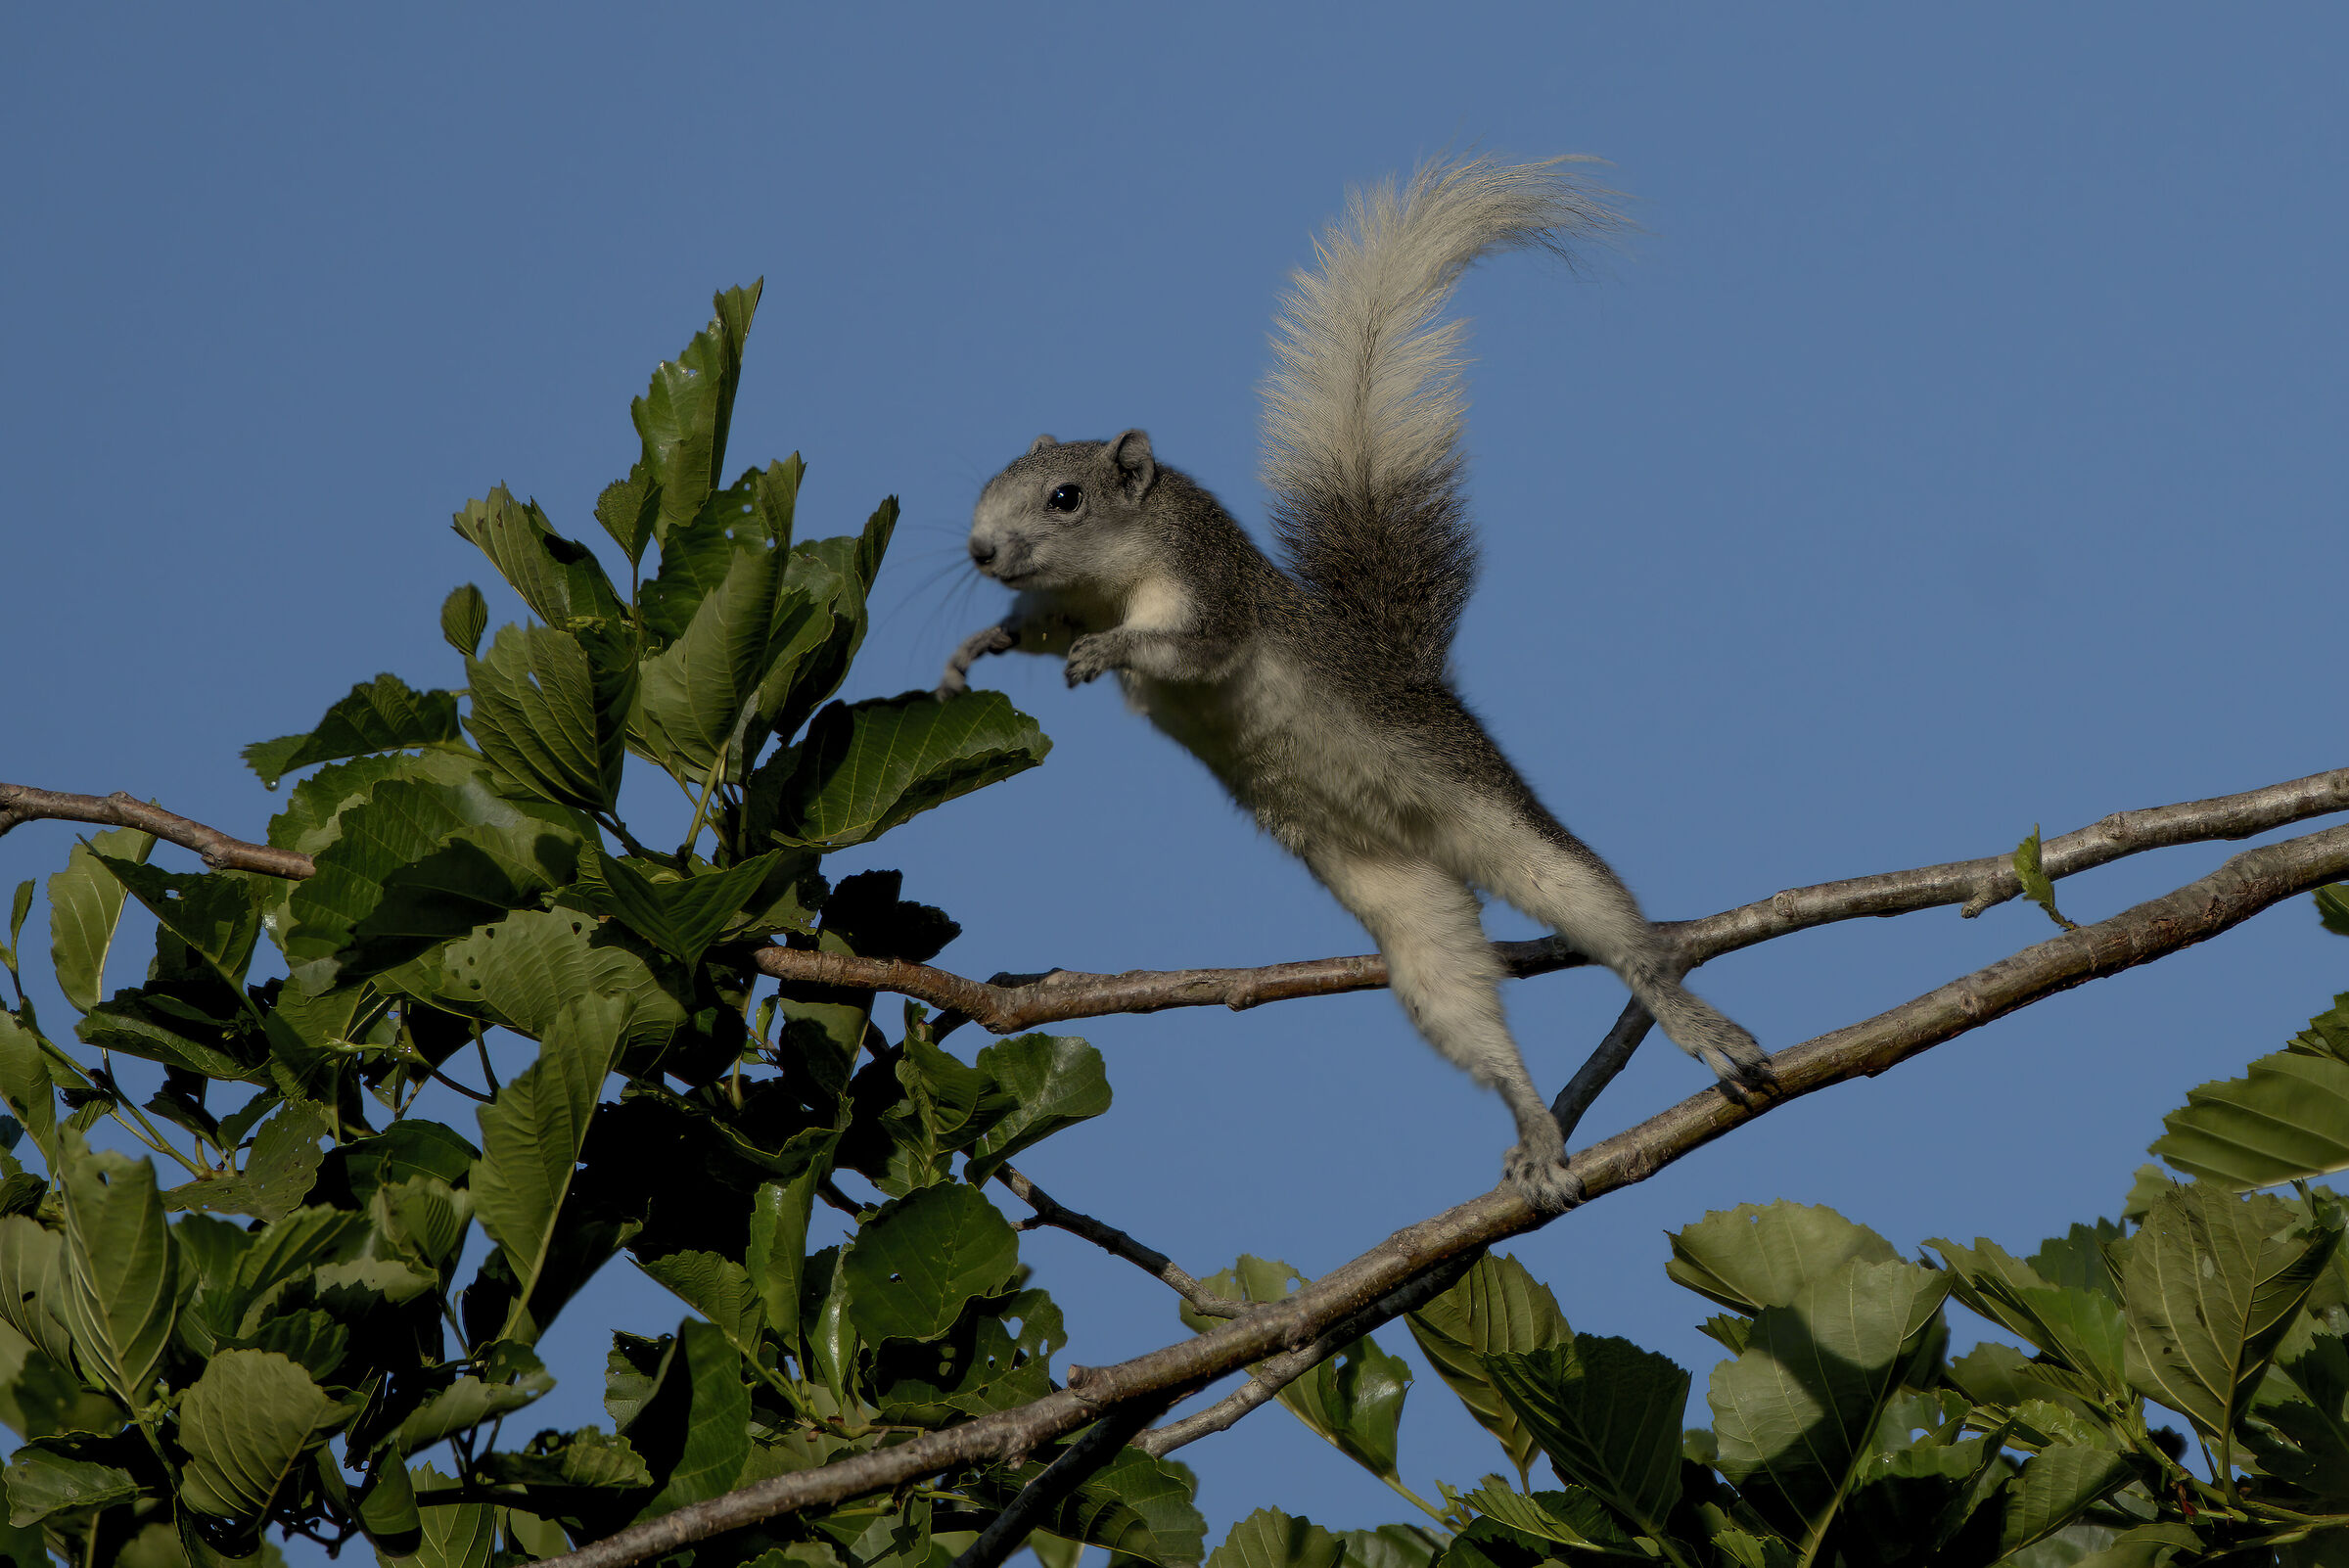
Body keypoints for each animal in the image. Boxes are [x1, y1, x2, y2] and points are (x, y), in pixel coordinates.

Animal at [937, 155, 1769, 1211]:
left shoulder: (1214, 592)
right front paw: (980, 646)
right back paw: (1536, 1132)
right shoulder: (1071, 603)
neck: (1112, 583)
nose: (981, 551)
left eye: (1064, 496)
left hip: (1497, 819)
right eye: (989, 486)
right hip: (1408, 913)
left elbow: (1190, 651)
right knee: (1467, 1009)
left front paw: (1105, 657)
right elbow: (1038, 633)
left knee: (1615, 929)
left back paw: (1692, 1022)